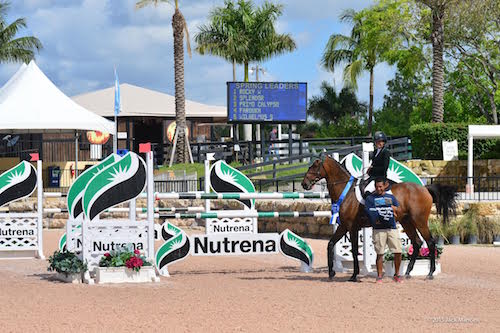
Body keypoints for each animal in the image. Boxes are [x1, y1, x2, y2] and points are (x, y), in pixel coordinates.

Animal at [300, 155, 458, 280]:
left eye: (313, 166)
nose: (304, 184)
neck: (346, 191)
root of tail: (425, 189)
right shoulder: (344, 226)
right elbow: (331, 244)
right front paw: (332, 272)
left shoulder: (351, 227)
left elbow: (354, 251)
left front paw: (354, 275)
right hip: (406, 221)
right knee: (417, 242)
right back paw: (407, 272)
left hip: (419, 221)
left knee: (430, 242)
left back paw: (430, 273)